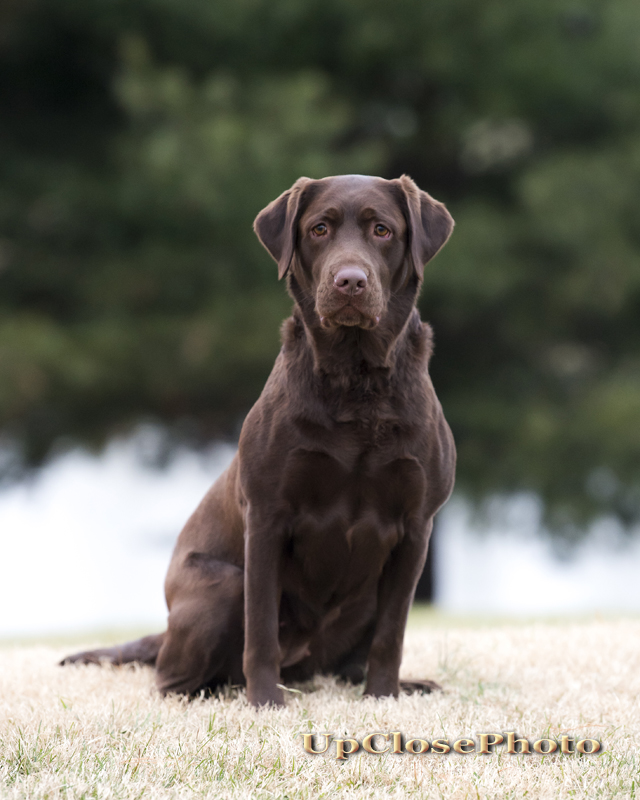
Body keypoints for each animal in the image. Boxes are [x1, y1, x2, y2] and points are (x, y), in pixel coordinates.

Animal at [62, 175, 456, 708]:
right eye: (319, 229)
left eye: (382, 230)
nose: (349, 281)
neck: (356, 380)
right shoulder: (268, 514)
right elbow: (262, 625)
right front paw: (266, 701)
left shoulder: (417, 526)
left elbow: (391, 633)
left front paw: (383, 696)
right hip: (223, 583)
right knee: (172, 680)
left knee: (346, 661)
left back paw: (406, 685)